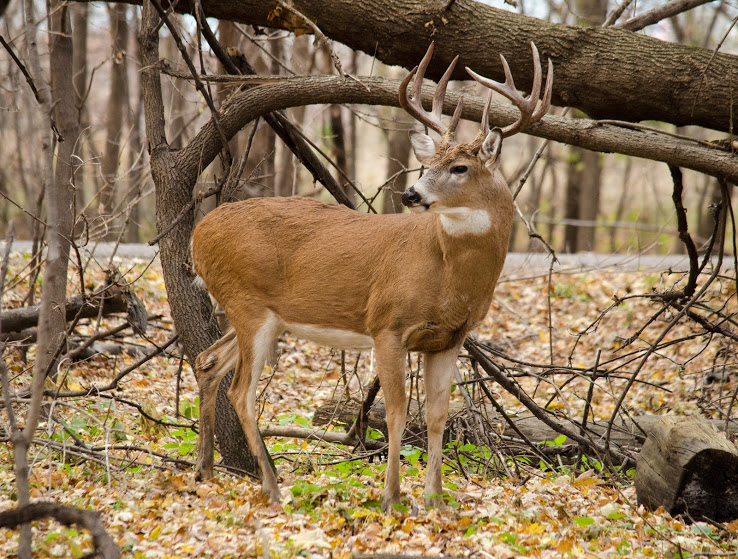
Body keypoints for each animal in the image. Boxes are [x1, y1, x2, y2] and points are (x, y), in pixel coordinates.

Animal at [193, 41, 548, 510]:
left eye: (460, 168)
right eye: (427, 162)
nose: (410, 193)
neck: (449, 273)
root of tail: (197, 235)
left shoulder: (449, 338)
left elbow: (436, 415)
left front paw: (436, 499)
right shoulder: (388, 325)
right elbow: (396, 413)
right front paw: (393, 497)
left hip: (256, 312)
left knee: (207, 361)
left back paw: (205, 469)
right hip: (248, 304)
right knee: (241, 391)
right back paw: (271, 486)